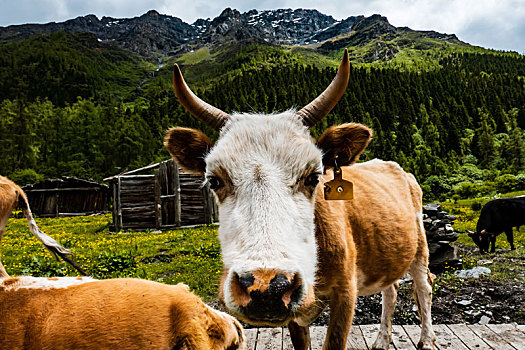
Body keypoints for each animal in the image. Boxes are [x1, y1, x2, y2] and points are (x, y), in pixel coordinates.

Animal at [166, 50, 436, 350]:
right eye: (214, 180)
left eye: (313, 176)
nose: (266, 287)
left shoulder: (346, 293)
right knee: (391, 288)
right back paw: (381, 340)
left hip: (420, 247)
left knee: (423, 287)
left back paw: (426, 339)